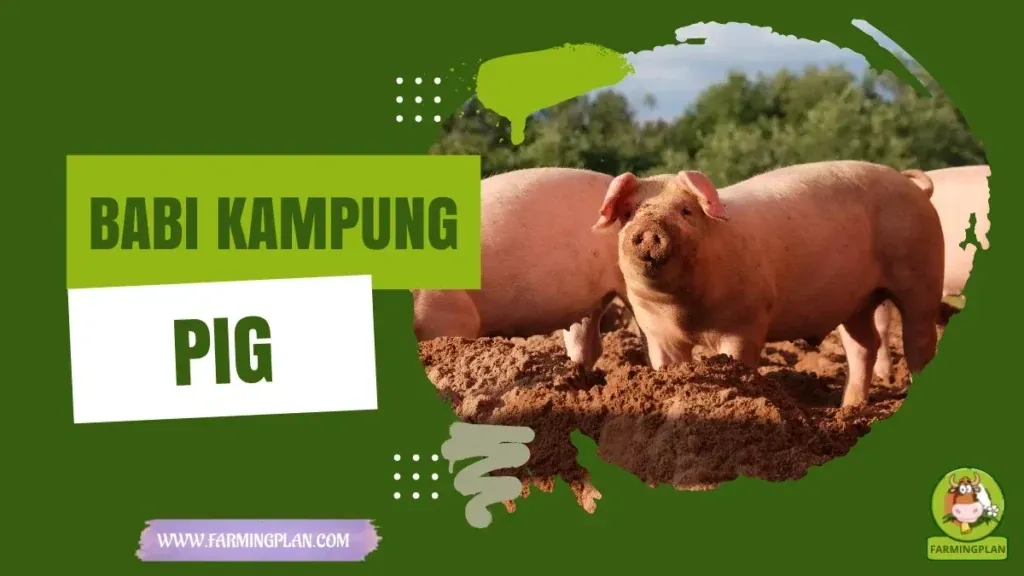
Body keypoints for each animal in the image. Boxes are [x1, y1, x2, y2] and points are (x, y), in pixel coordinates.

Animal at [592, 160, 944, 408]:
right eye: (629, 212)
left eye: (686, 211)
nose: (650, 228)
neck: (683, 311)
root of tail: (915, 188)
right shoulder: (656, 331)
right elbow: (667, 365)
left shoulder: (744, 324)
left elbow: (738, 362)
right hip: (857, 301)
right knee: (864, 345)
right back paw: (848, 408)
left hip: (922, 274)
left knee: (918, 339)